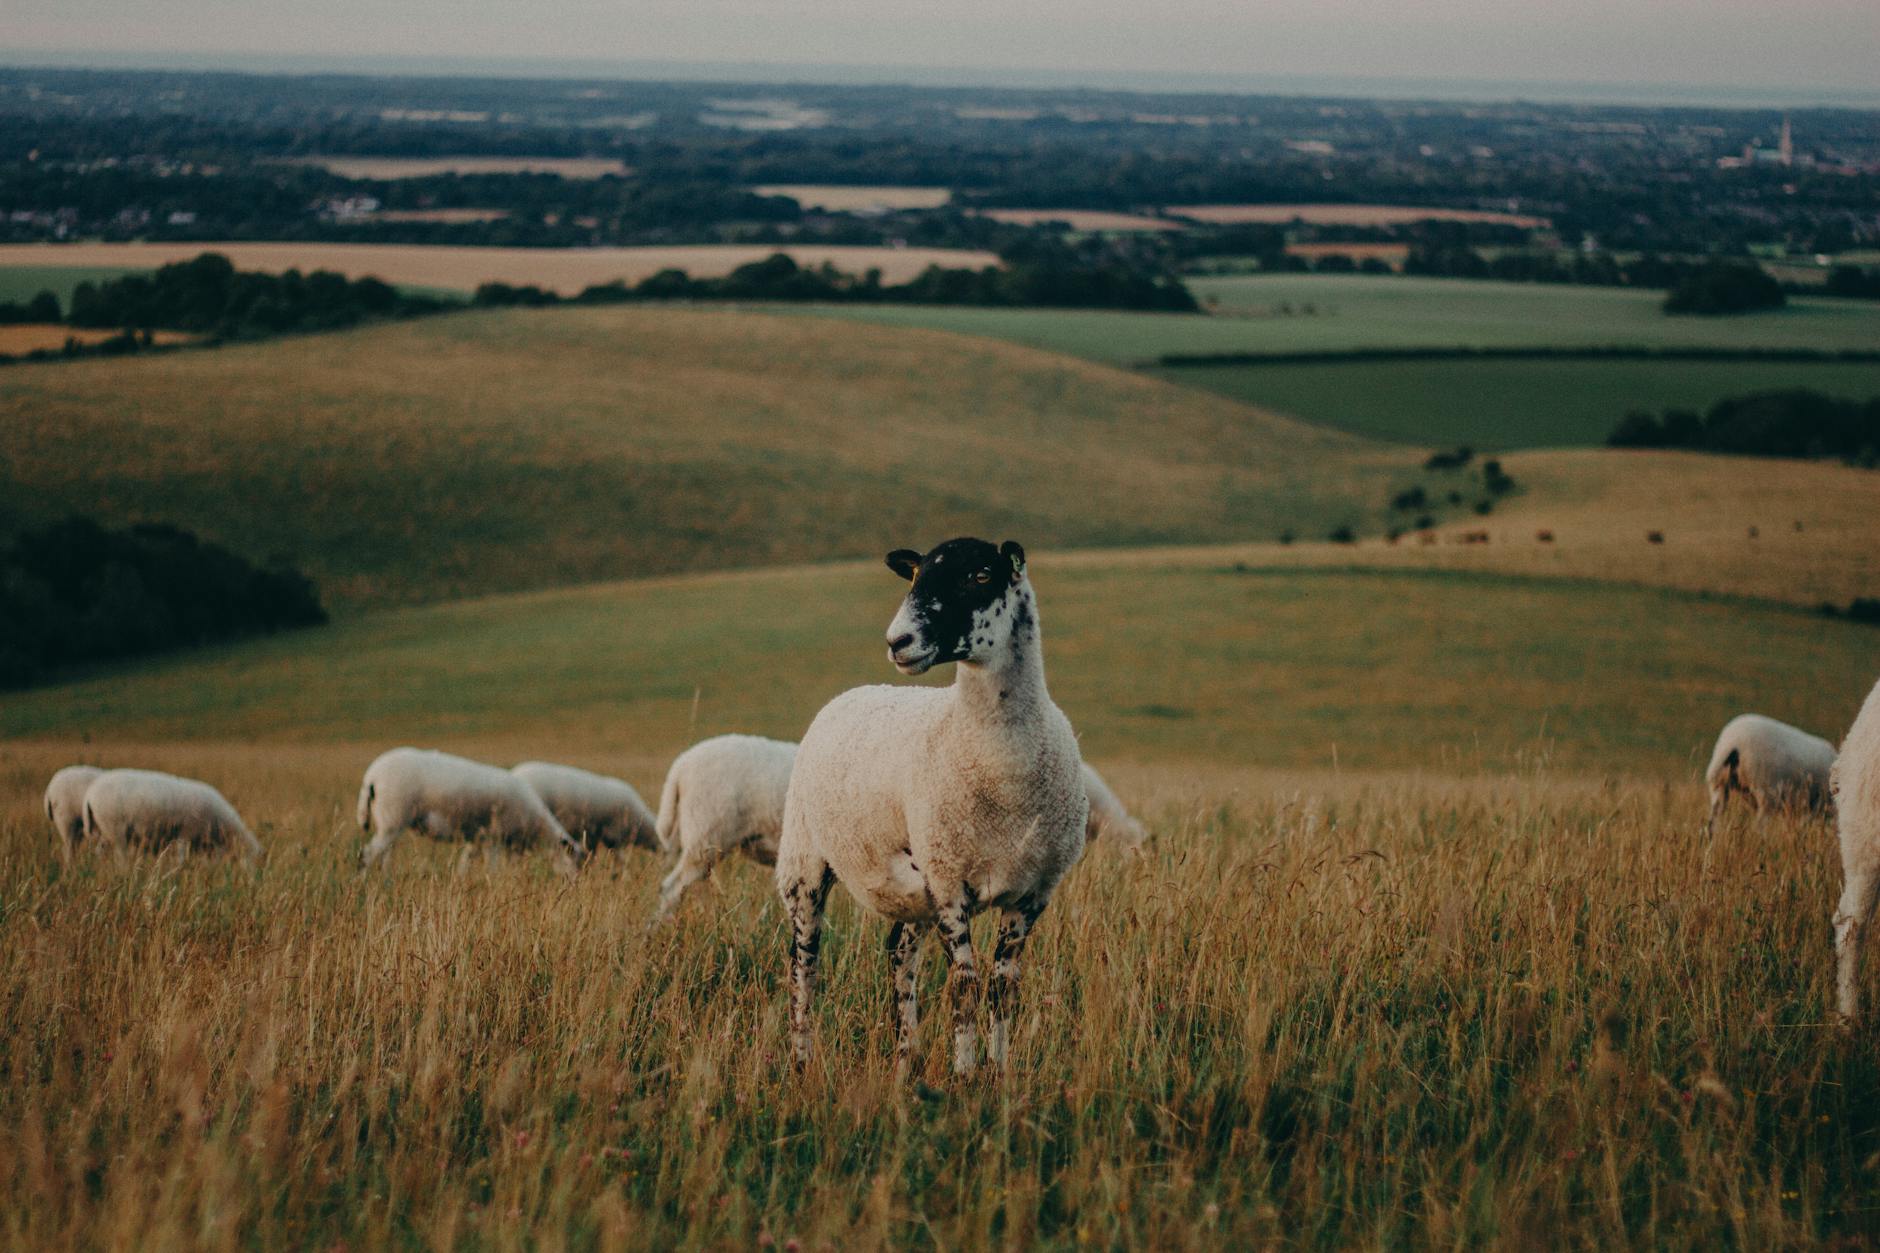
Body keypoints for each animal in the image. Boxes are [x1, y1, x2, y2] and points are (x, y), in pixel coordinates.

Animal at [82, 769, 262, 860]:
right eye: (252, 859)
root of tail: (90, 794)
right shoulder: (187, 832)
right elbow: (182, 858)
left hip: (104, 829)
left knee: (100, 850)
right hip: (116, 827)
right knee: (121, 855)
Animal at [357, 747, 585, 874]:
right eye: (574, 863)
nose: (573, 885)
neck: (536, 825)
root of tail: (371, 776)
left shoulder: (476, 840)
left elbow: (464, 866)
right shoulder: (494, 839)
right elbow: (493, 870)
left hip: (390, 822)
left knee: (384, 857)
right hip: (393, 818)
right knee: (367, 855)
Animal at [777, 537, 1087, 1077]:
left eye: (981, 575)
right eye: (916, 577)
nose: (898, 641)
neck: (1003, 770)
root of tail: (853, 692)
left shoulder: (1033, 893)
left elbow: (1002, 990)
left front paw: (998, 1076)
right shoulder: (948, 883)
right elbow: (964, 987)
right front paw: (963, 1077)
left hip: (911, 889)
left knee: (898, 956)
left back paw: (906, 1063)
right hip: (805, 862)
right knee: (804, 966)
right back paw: (801, 1063)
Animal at [1704, 713, 1837, 830]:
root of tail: (1732, 744)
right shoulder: (1814, 805)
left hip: (1719, 785)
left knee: (1712, 824)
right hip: (1766, 792)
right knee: (1759, 826)